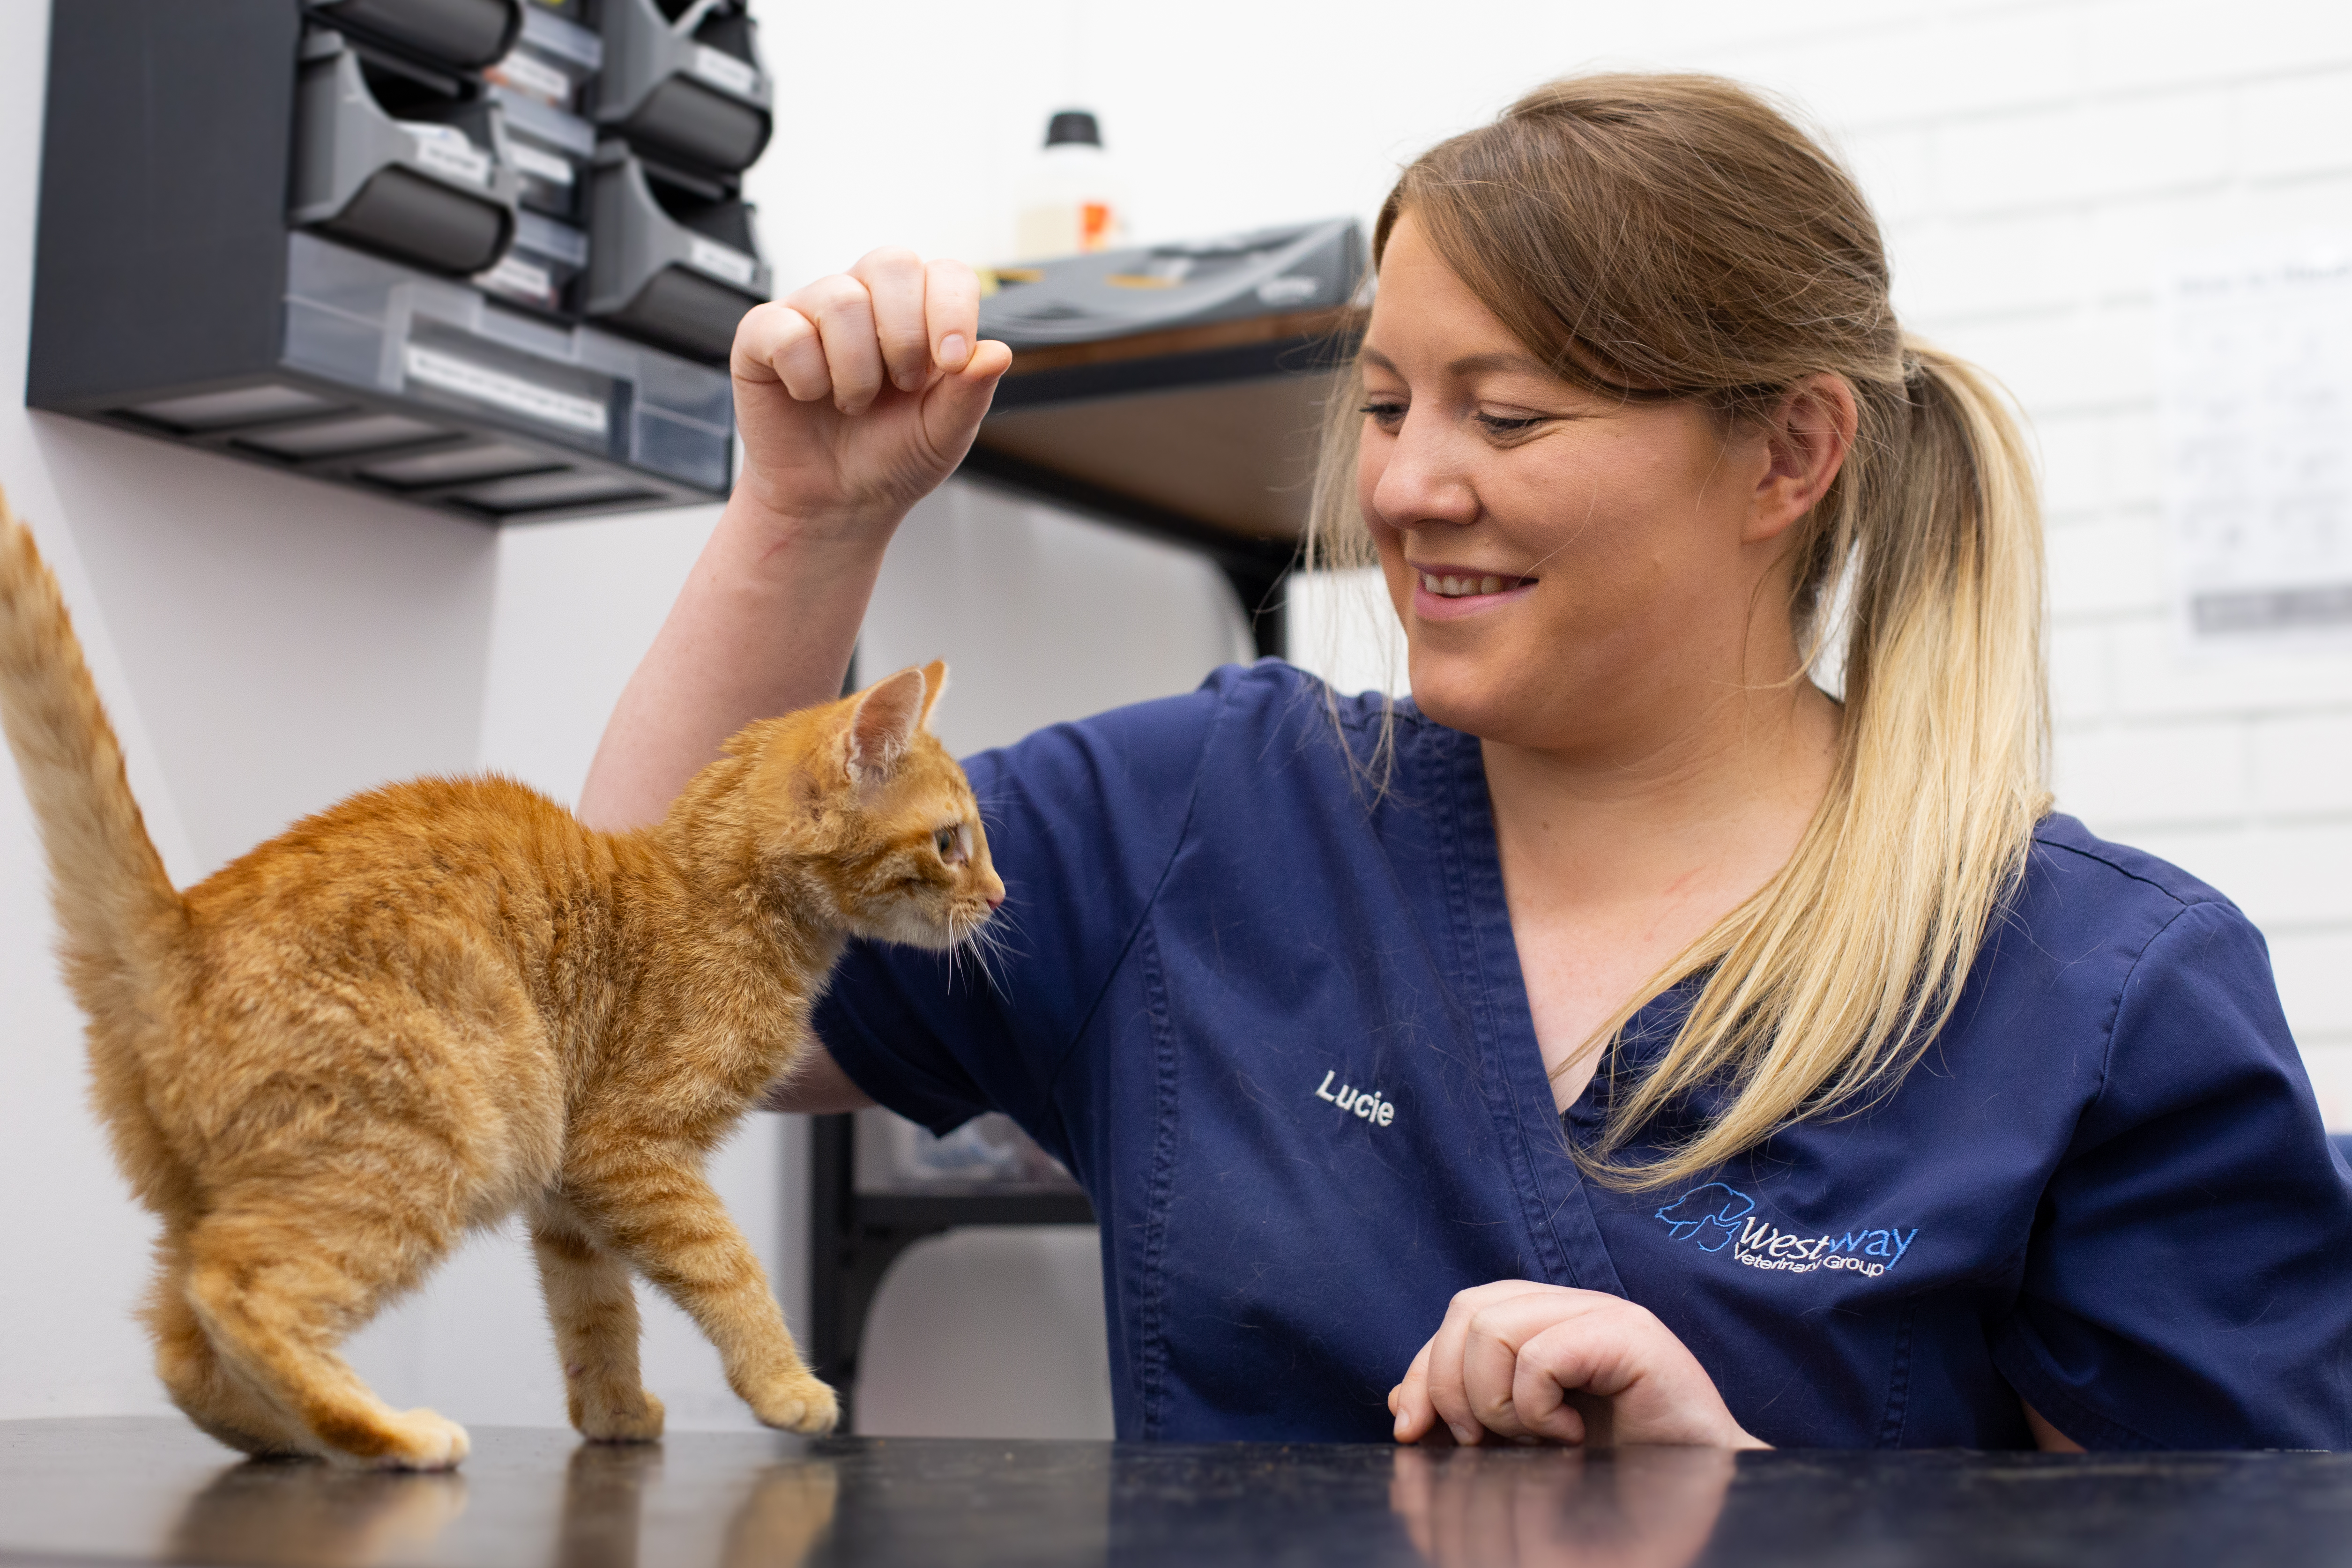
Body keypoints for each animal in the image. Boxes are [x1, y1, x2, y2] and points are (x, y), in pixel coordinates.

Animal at [0, 493, 1002, 1476]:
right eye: (952, 841)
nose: (997, 895)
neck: (720, 894)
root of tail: (181, 923)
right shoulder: (626, 1149)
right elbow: (728, 1269)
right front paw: (786, 1385)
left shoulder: (570, 1191)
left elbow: (596, 1310)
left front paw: (616, 1413)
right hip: (441, 1139)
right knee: (242, 1290)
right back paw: (388, 1434)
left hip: (229, 1192)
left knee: (180, 1340)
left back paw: (288, 1434)